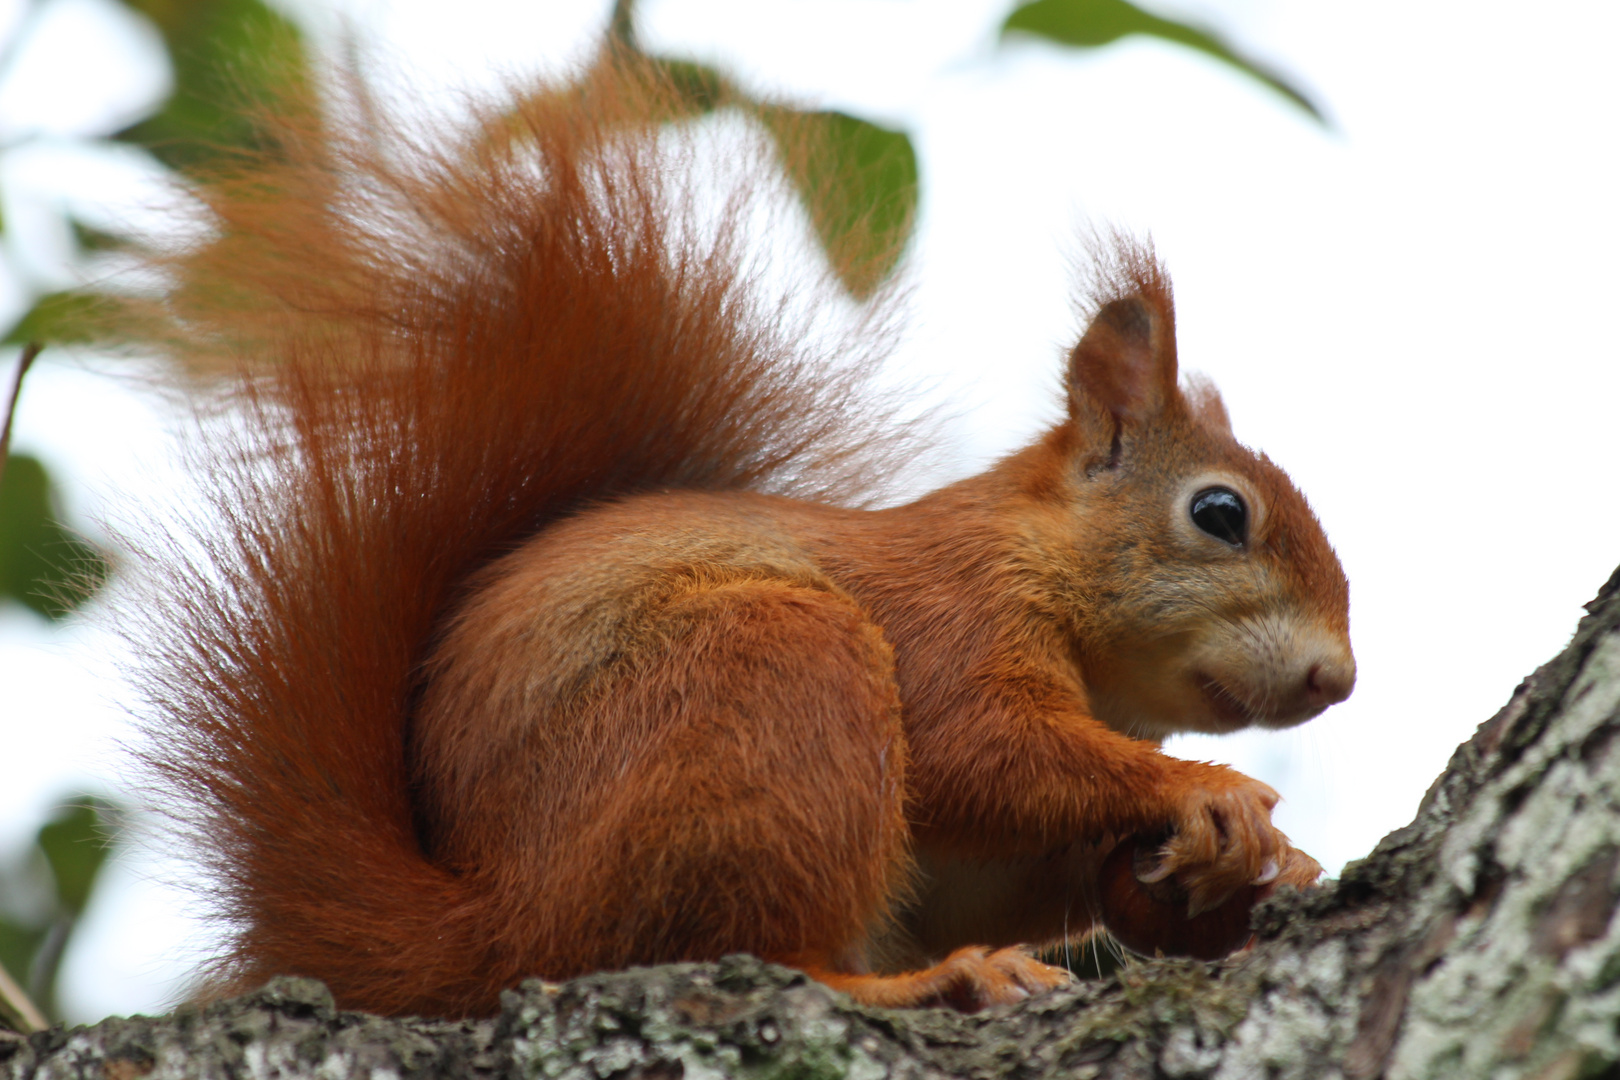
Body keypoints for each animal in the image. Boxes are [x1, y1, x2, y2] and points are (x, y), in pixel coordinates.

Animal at [136, 61, 1354, 1023]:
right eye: (1219, 514)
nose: (1337, 680)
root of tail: (490, 926)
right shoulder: (949, 614)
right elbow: (981, 749)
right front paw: (1206, 791)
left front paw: (1235, 877)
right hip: (775, 679)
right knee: (757, 955)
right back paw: (929, 983)